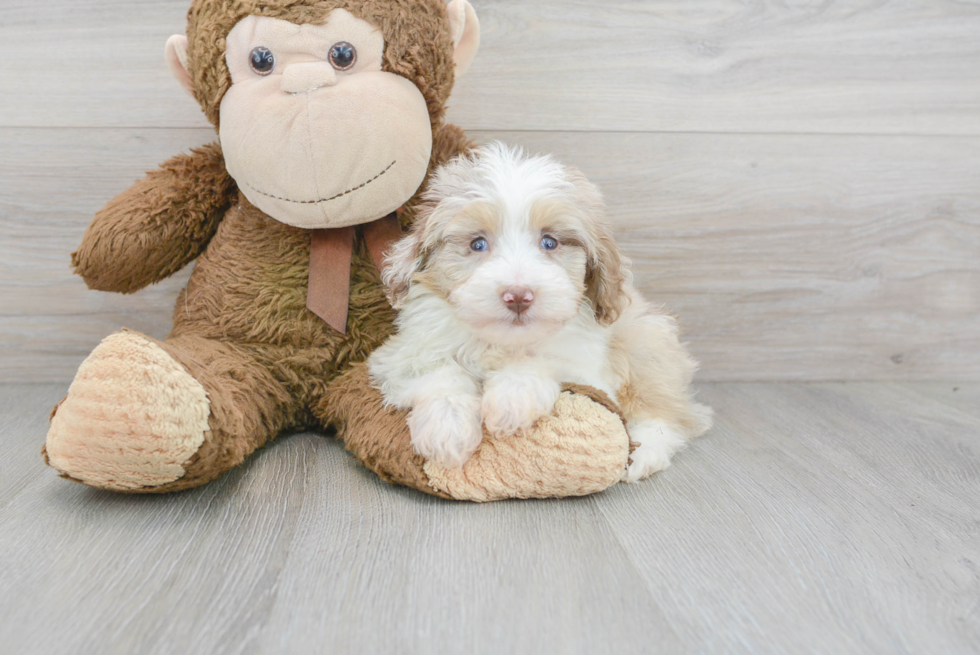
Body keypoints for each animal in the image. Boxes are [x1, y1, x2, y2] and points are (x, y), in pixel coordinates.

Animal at [368, 144, 712, 482]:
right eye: (478, 244)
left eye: (549, 242)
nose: (518, 296)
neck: (503, 342)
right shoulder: (404, 353)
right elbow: (438, 372)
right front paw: (447, 428)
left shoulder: (588, 368)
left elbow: (546, 360)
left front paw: (512, 398)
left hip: (645, 340)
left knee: (666, 412)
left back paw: (643, 453)